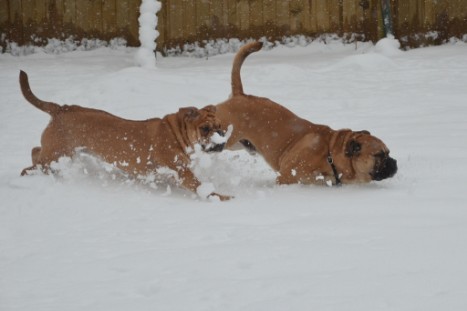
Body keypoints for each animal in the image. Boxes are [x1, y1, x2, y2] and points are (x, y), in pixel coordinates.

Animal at [20, 70, 232, 201]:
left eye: (220, 127)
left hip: (58, 152)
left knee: (35, 150)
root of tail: (60, 109)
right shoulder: (183, 172)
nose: (222, 141)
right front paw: (223, 197)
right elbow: (202, 187)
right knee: (33, 162)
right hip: (57, 153)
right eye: (205, 128)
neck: (177, 132)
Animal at [218, 41, 396, 185]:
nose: (394, 163)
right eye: (379, 154)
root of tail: (240, 95)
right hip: (227, 136)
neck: (330, 155)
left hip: (237, 144)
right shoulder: (286, 177)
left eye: (388, 152)